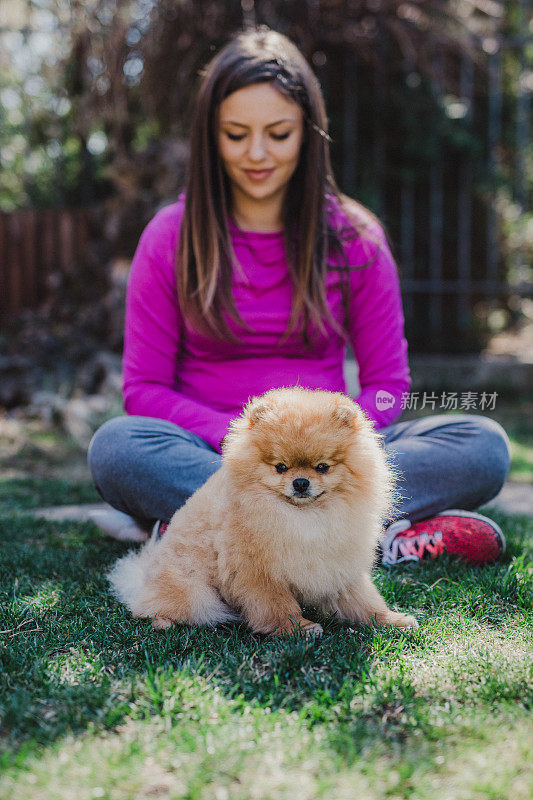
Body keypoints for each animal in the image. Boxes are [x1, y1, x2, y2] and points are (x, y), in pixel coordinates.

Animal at [107, 388, 416, 636]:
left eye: (322, 467)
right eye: (280, 467)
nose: (300, 482)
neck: (305, 517)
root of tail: (144, 578)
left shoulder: (336, 564)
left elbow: (364, 600)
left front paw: (391, 620)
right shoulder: (259, 572)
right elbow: (277, 606)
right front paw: (297, 628)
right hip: (193, 590)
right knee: (152, 608)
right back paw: (163, 621)